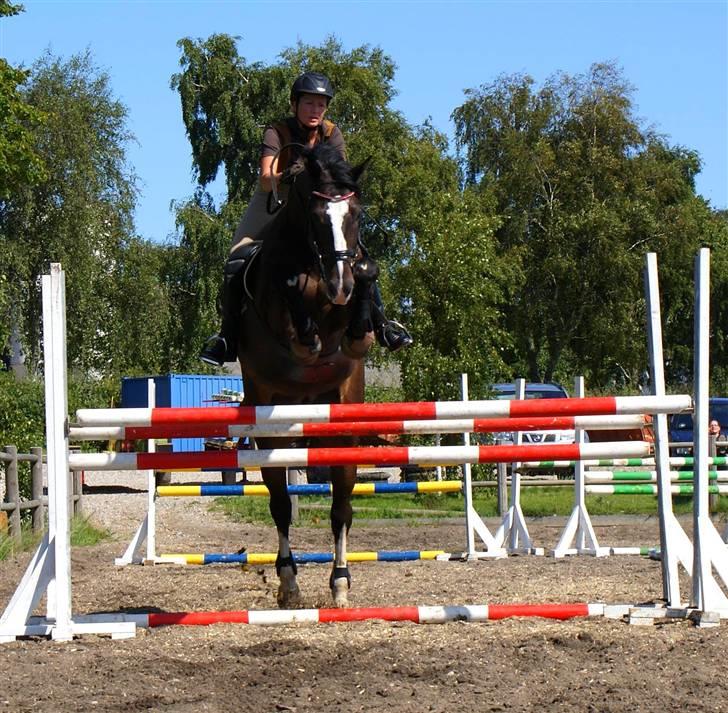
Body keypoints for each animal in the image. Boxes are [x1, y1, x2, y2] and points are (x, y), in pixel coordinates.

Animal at [237, 143, 376, 608]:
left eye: (356, 214)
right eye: (315, 216)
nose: (340, 284)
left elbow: (363, 290)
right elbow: (291, 285)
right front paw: (308, 332)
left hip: (339, 420)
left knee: (341, 506)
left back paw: (340, 581)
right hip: (268, 418)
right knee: (280, 503)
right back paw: (288, 582)